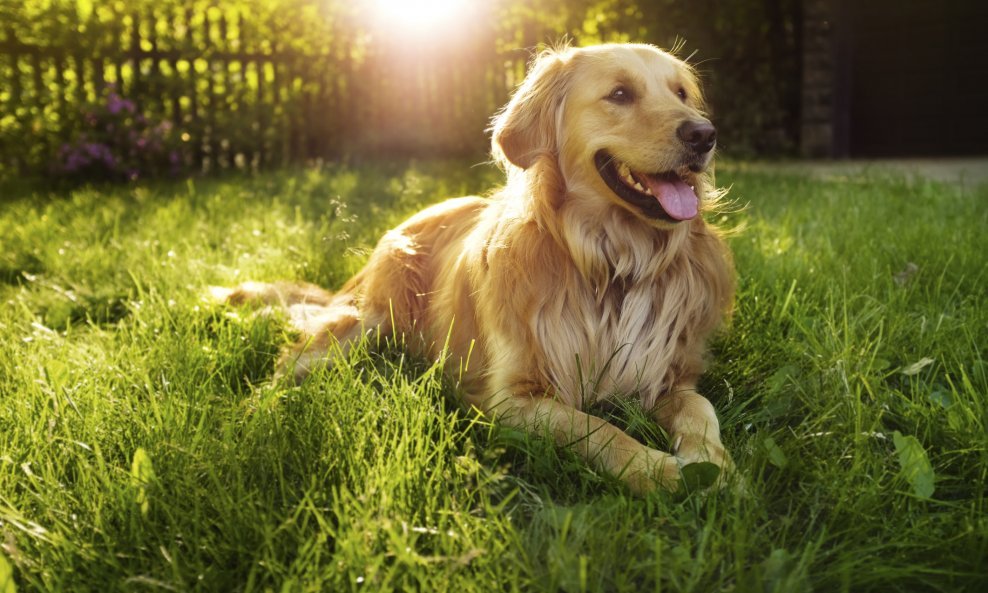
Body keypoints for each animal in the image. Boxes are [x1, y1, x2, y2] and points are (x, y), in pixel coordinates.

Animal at [218, 44, 740, 492]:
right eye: (619, 94)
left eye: (681, 93)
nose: (705, 135)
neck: (613, 264)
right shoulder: (511, 399)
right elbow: (596, 427)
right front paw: (658, 471)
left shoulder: (668, 374)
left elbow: (700, 408)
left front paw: (712, 463)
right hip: (366, 323)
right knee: (287, 365)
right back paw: (252, 417)